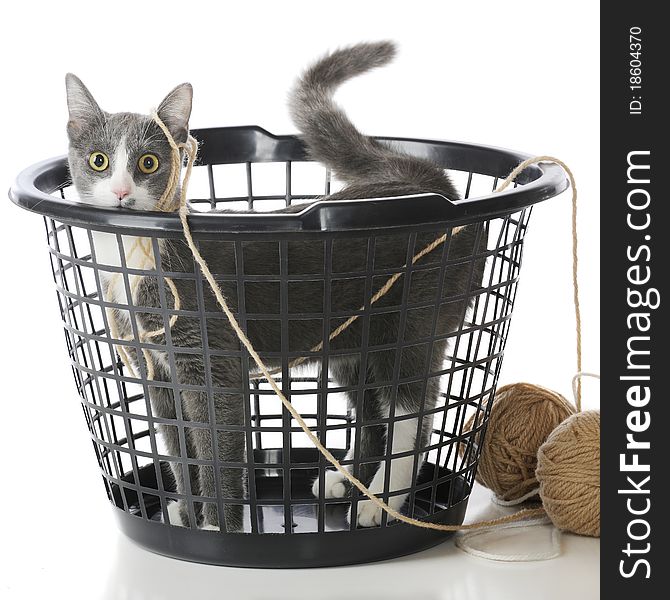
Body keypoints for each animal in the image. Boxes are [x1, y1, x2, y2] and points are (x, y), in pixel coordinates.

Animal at [65, 41, 486, 528]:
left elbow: (217, 451)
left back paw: (379, 501)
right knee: (370, 410)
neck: (137, 259)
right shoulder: (155, 373)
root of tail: (428, 186)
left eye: (147, 163)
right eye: (98, 160)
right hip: (350, 341)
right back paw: (346, 482)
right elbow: (179, 450)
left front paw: (217, 527)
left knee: (412, 413)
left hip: (413, 322)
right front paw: (186, 515)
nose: (120, 192)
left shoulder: (213, 364)